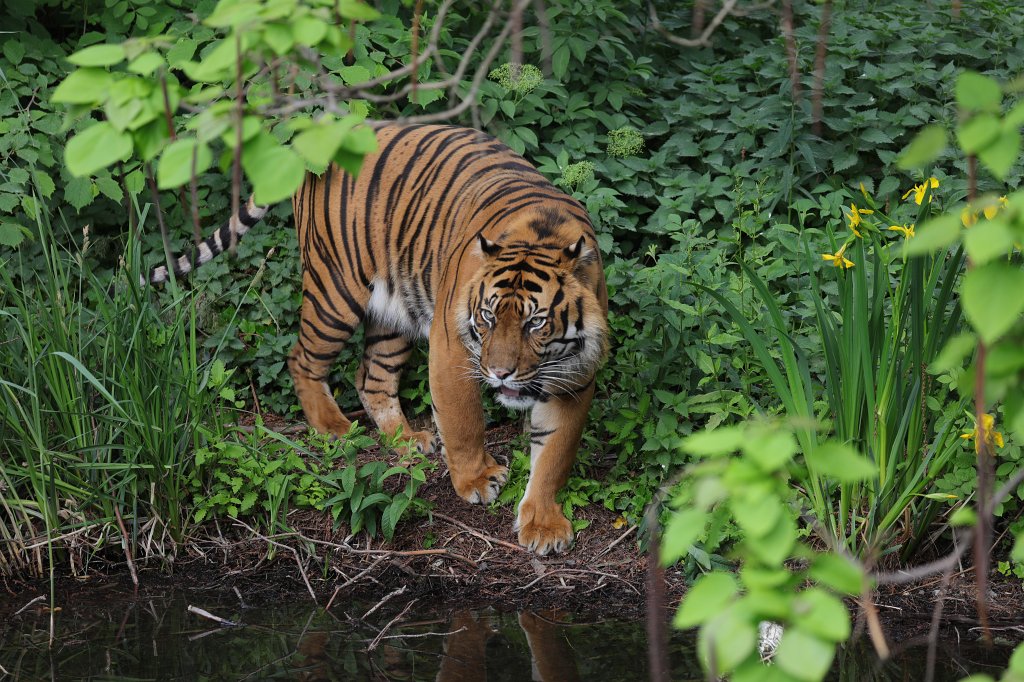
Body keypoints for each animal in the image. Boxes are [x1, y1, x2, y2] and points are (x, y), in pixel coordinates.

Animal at [149, 123, 609, 555]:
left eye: (536, 323)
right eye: (488, 316)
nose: (499, 374)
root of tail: (336, 129)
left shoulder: (574, 376)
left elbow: (554, 454)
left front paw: (543, 525)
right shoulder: (451, 347)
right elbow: (464, 421)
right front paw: (476, 480)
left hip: (394, 311)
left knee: (371, 378)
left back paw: (406, 439)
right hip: (334, 291)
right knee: (302, 358)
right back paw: (334, 428)